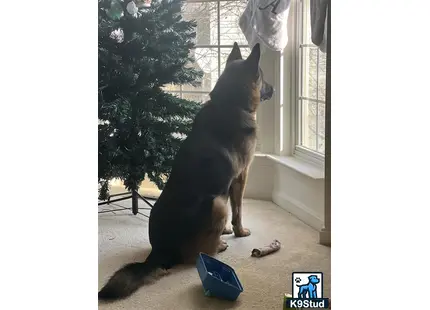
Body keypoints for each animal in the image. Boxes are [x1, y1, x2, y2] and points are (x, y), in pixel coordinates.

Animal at [98, 41, 272, 300]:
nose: (273, 89)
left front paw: (226, 230)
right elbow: (238, 210)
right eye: (262, 77)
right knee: (195, 255)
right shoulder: (241, 177)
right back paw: (218, 246)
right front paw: (239, 232)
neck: (230, 103)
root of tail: (159, 252)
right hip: (216, 204)